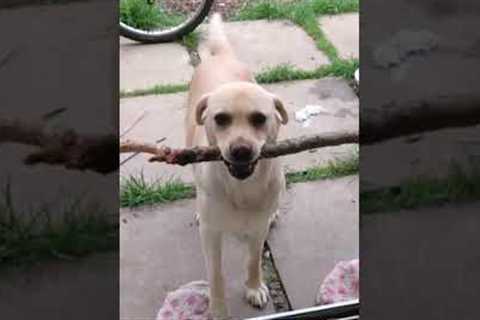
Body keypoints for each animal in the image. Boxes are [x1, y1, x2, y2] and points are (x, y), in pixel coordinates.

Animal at [186, 13, 286, 318]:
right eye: (221, 119)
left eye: (260, 118)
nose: (241, 150)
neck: (241, 187)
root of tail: (222, 56)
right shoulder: (210, 235)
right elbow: (215, 274)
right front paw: (218, 309)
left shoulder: (257, 230)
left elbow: (253, 260)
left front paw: (254, 287)